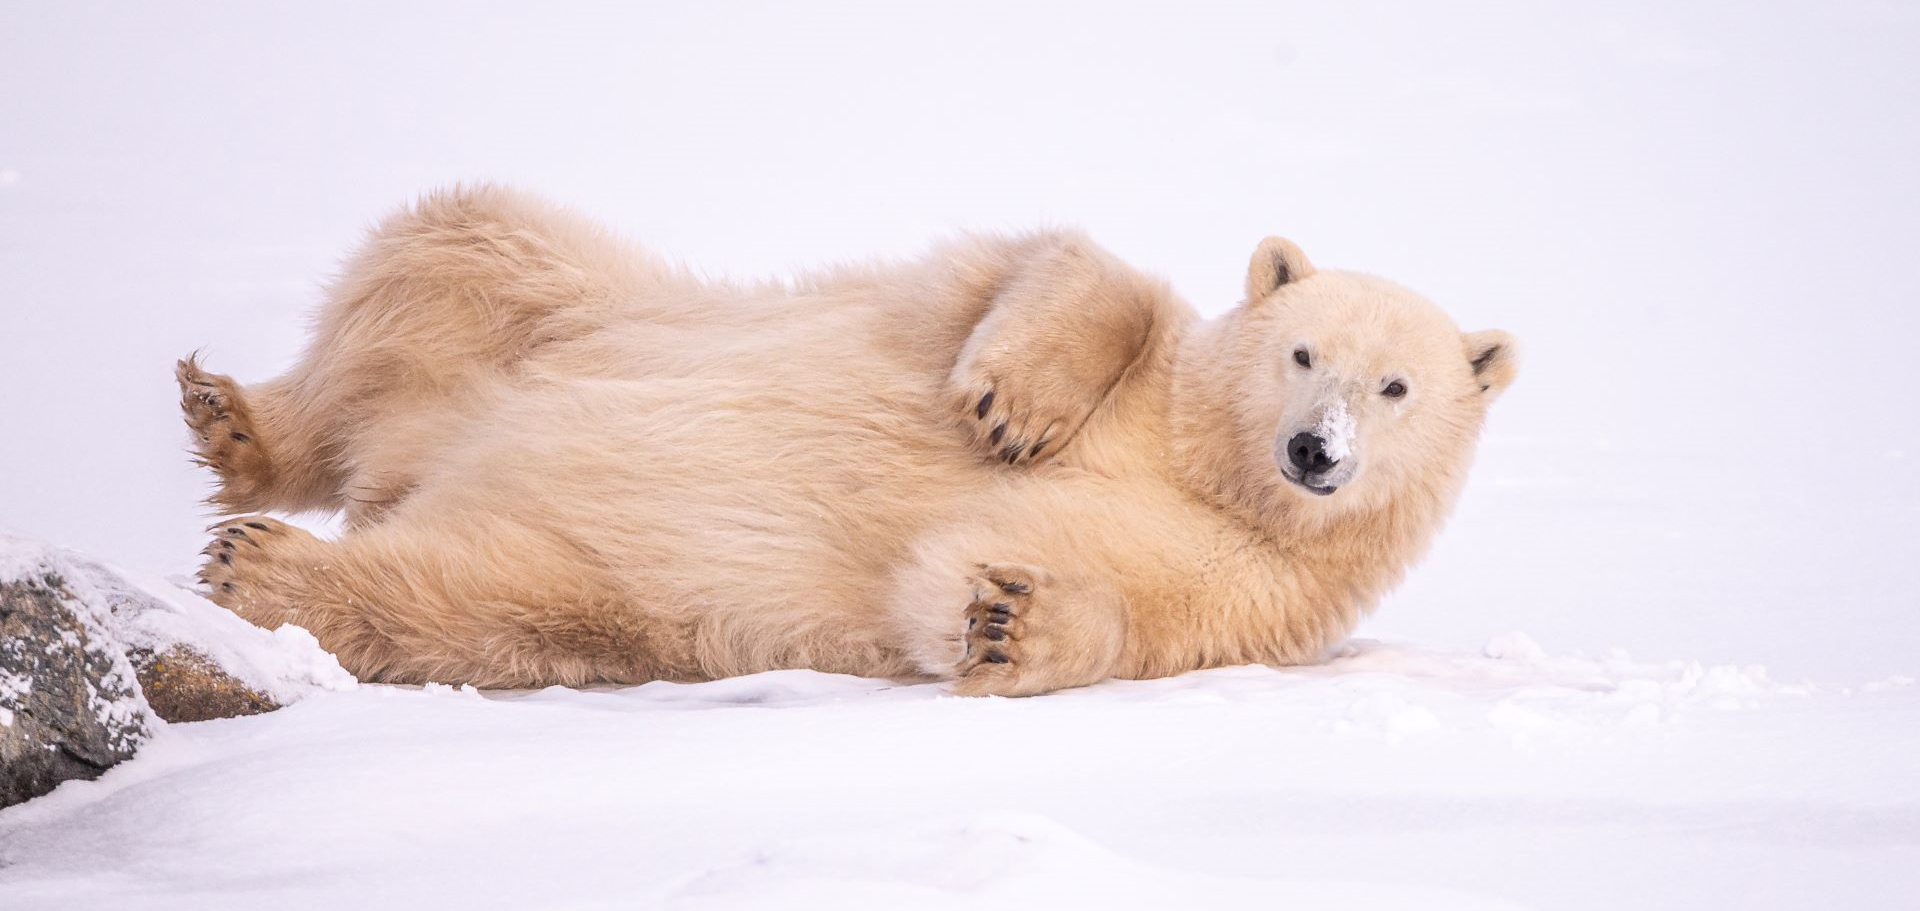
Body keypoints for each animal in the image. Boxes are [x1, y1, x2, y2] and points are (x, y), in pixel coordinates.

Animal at [178, 185, 1517, 697]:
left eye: (1396, 385)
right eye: (1302, 354)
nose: (1315, 452)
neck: (1213, 469)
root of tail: (418, 461)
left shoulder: (1250, 586)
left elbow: (1096, 605)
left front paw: (1006, 617)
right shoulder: (1122, 364)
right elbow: (1070, 270)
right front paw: (1014, 408)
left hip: (590, 587)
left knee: (449, 597)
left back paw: (265, 562)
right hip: (579, 304)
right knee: (445, 247)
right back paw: (239, 426)